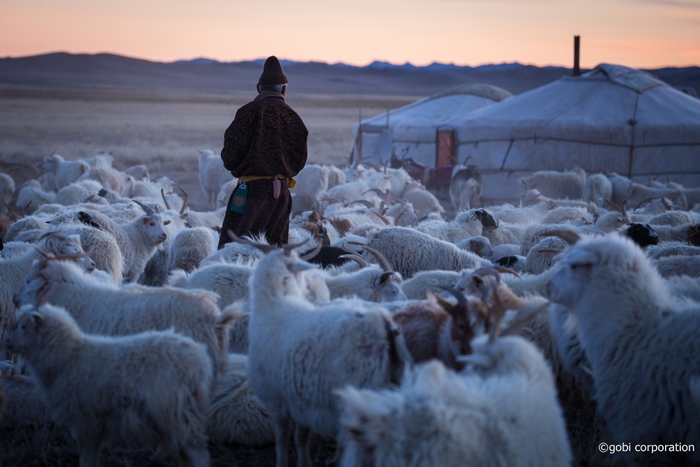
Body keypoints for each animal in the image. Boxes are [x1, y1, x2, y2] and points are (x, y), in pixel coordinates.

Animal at [6, 304, 212, 467]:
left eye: (24, 327)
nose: (8, 343)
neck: (68, 355)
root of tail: (199, 360)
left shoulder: (85, 417)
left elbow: (86, 452)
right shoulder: (94, 420)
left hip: (173, 406)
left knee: (194, 447)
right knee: (183, 445)